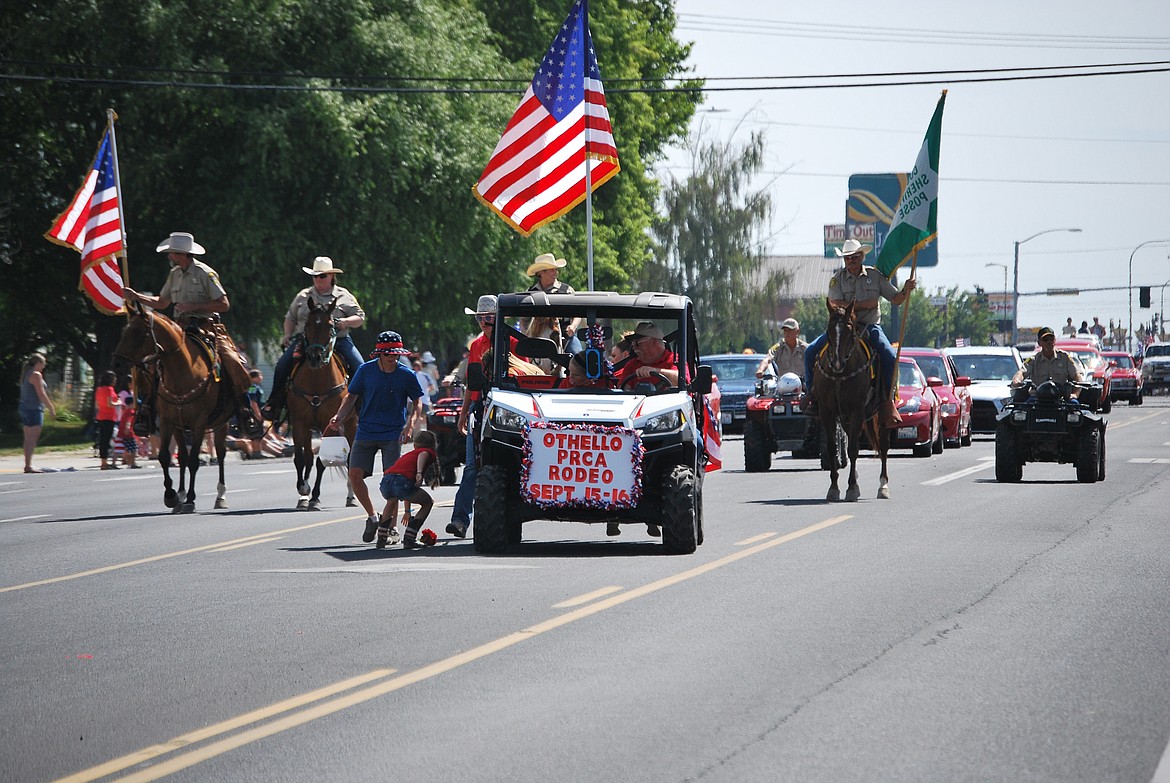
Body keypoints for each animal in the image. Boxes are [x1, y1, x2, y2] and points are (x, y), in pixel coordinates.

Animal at [284, 296, 353, 510]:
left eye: (330, 325)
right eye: (307, 325)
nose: (314, 357)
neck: (316, 382)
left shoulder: (328, 423)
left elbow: (322, 462)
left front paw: (314, 497)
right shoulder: (299, 422)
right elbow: (300, 458)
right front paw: (303, 490)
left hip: (352, 424)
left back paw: (351, 495)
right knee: (308, 457)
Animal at [809, 299, 889, 500]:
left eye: (850, 332)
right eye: (829, 330)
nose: (837, 363)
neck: (840, 375)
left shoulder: (857, 410)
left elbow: (853, 449)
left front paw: (851, 487)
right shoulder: (827, 411)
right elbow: (832, 448)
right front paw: (833, 488)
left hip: (883, 412)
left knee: (884, 445)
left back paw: (883, 485)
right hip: (845, 417)